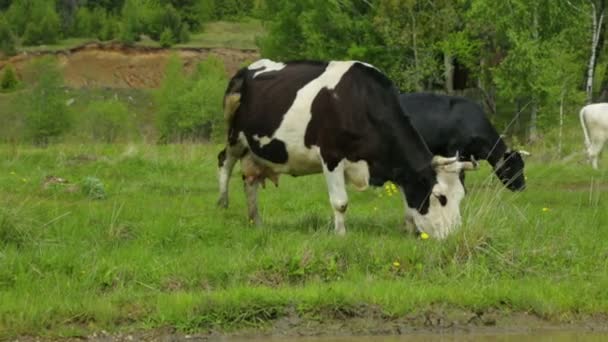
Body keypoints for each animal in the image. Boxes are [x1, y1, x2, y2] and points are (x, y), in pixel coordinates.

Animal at [216, 58, 478, 239]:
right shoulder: (331, 155)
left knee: (250, 180)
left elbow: (407, 201)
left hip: (253, 151)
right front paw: (341, 235)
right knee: (224, 161)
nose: (454, 236)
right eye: (441, 197)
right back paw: (222, 203)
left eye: (461, 196)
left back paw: (256, 222)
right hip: (235, 136)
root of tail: (247, 70)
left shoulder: (398, 169)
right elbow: (340, 202)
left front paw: (409, 228)